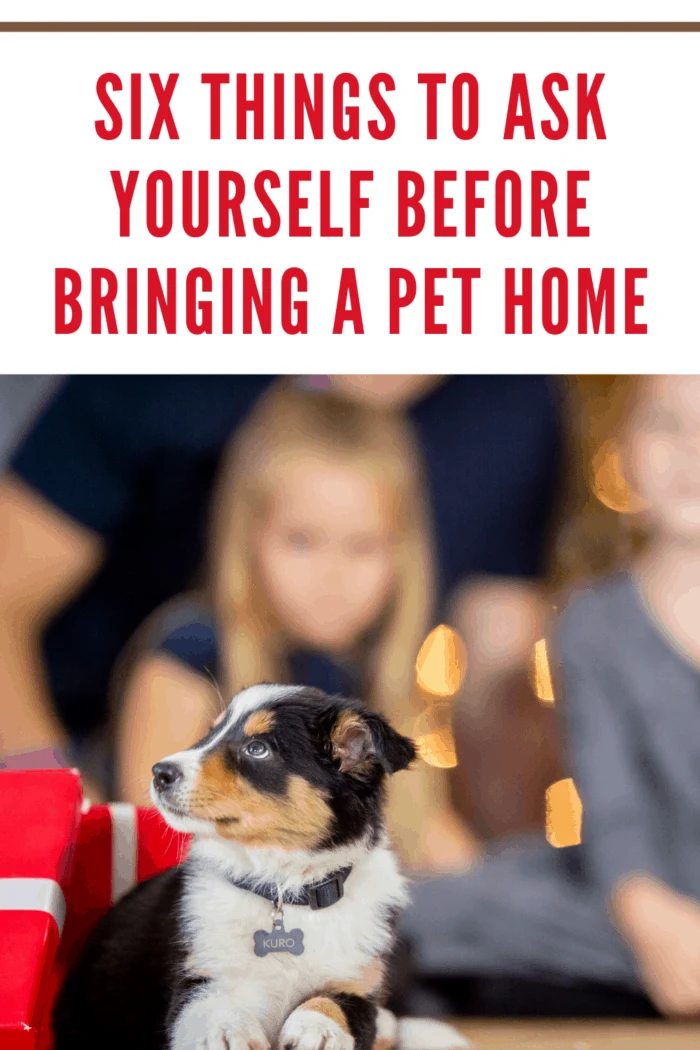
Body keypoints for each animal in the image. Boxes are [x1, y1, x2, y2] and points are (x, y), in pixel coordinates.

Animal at [53, 684, 470, 1050]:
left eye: (258, 749)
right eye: (212, 733)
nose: (160, 772)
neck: (283, 886)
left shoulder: (358, 984)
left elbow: (337, 1004)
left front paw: (317, 1029)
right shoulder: (196, 974)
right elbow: (210, 1004)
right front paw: (227, 1031)